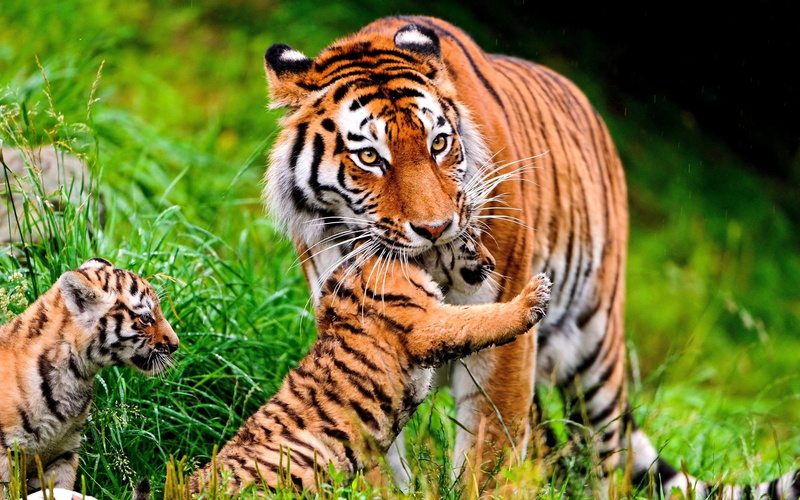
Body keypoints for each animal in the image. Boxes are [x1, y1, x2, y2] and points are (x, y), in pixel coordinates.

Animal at [190, 237, 551, 494]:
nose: (492, 262)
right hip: (306, 455)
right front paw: (534, 297)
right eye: (470, 237)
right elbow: (479, 318)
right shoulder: (427, 323)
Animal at [260, 15, 800, 499]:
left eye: (439, 143)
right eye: (370, 157)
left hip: (597, 353)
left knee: (605, 460)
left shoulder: (503, 344)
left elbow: (490, 454)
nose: (435, 228)